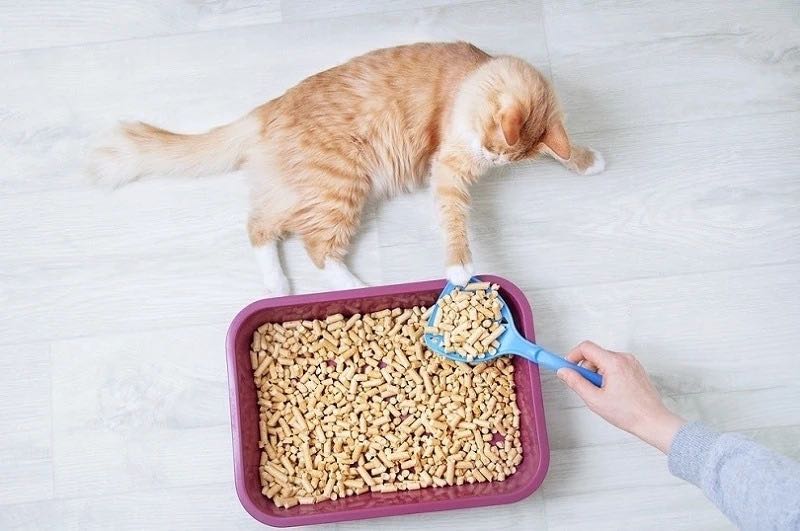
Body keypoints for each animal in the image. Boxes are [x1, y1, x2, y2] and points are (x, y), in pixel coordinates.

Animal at [89, 42, 600, 296]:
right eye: (492, 142)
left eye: (501, 155)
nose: (490, 157)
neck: (473, 77)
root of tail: (269, 107)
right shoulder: (449, 170)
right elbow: (456, 222)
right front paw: (460, 269)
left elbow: (568, 149)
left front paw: (592, 161)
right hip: (340, 186)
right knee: (317, 251)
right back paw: (356, 288)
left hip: (301, 190)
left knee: (260, 227)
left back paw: (278, 285)